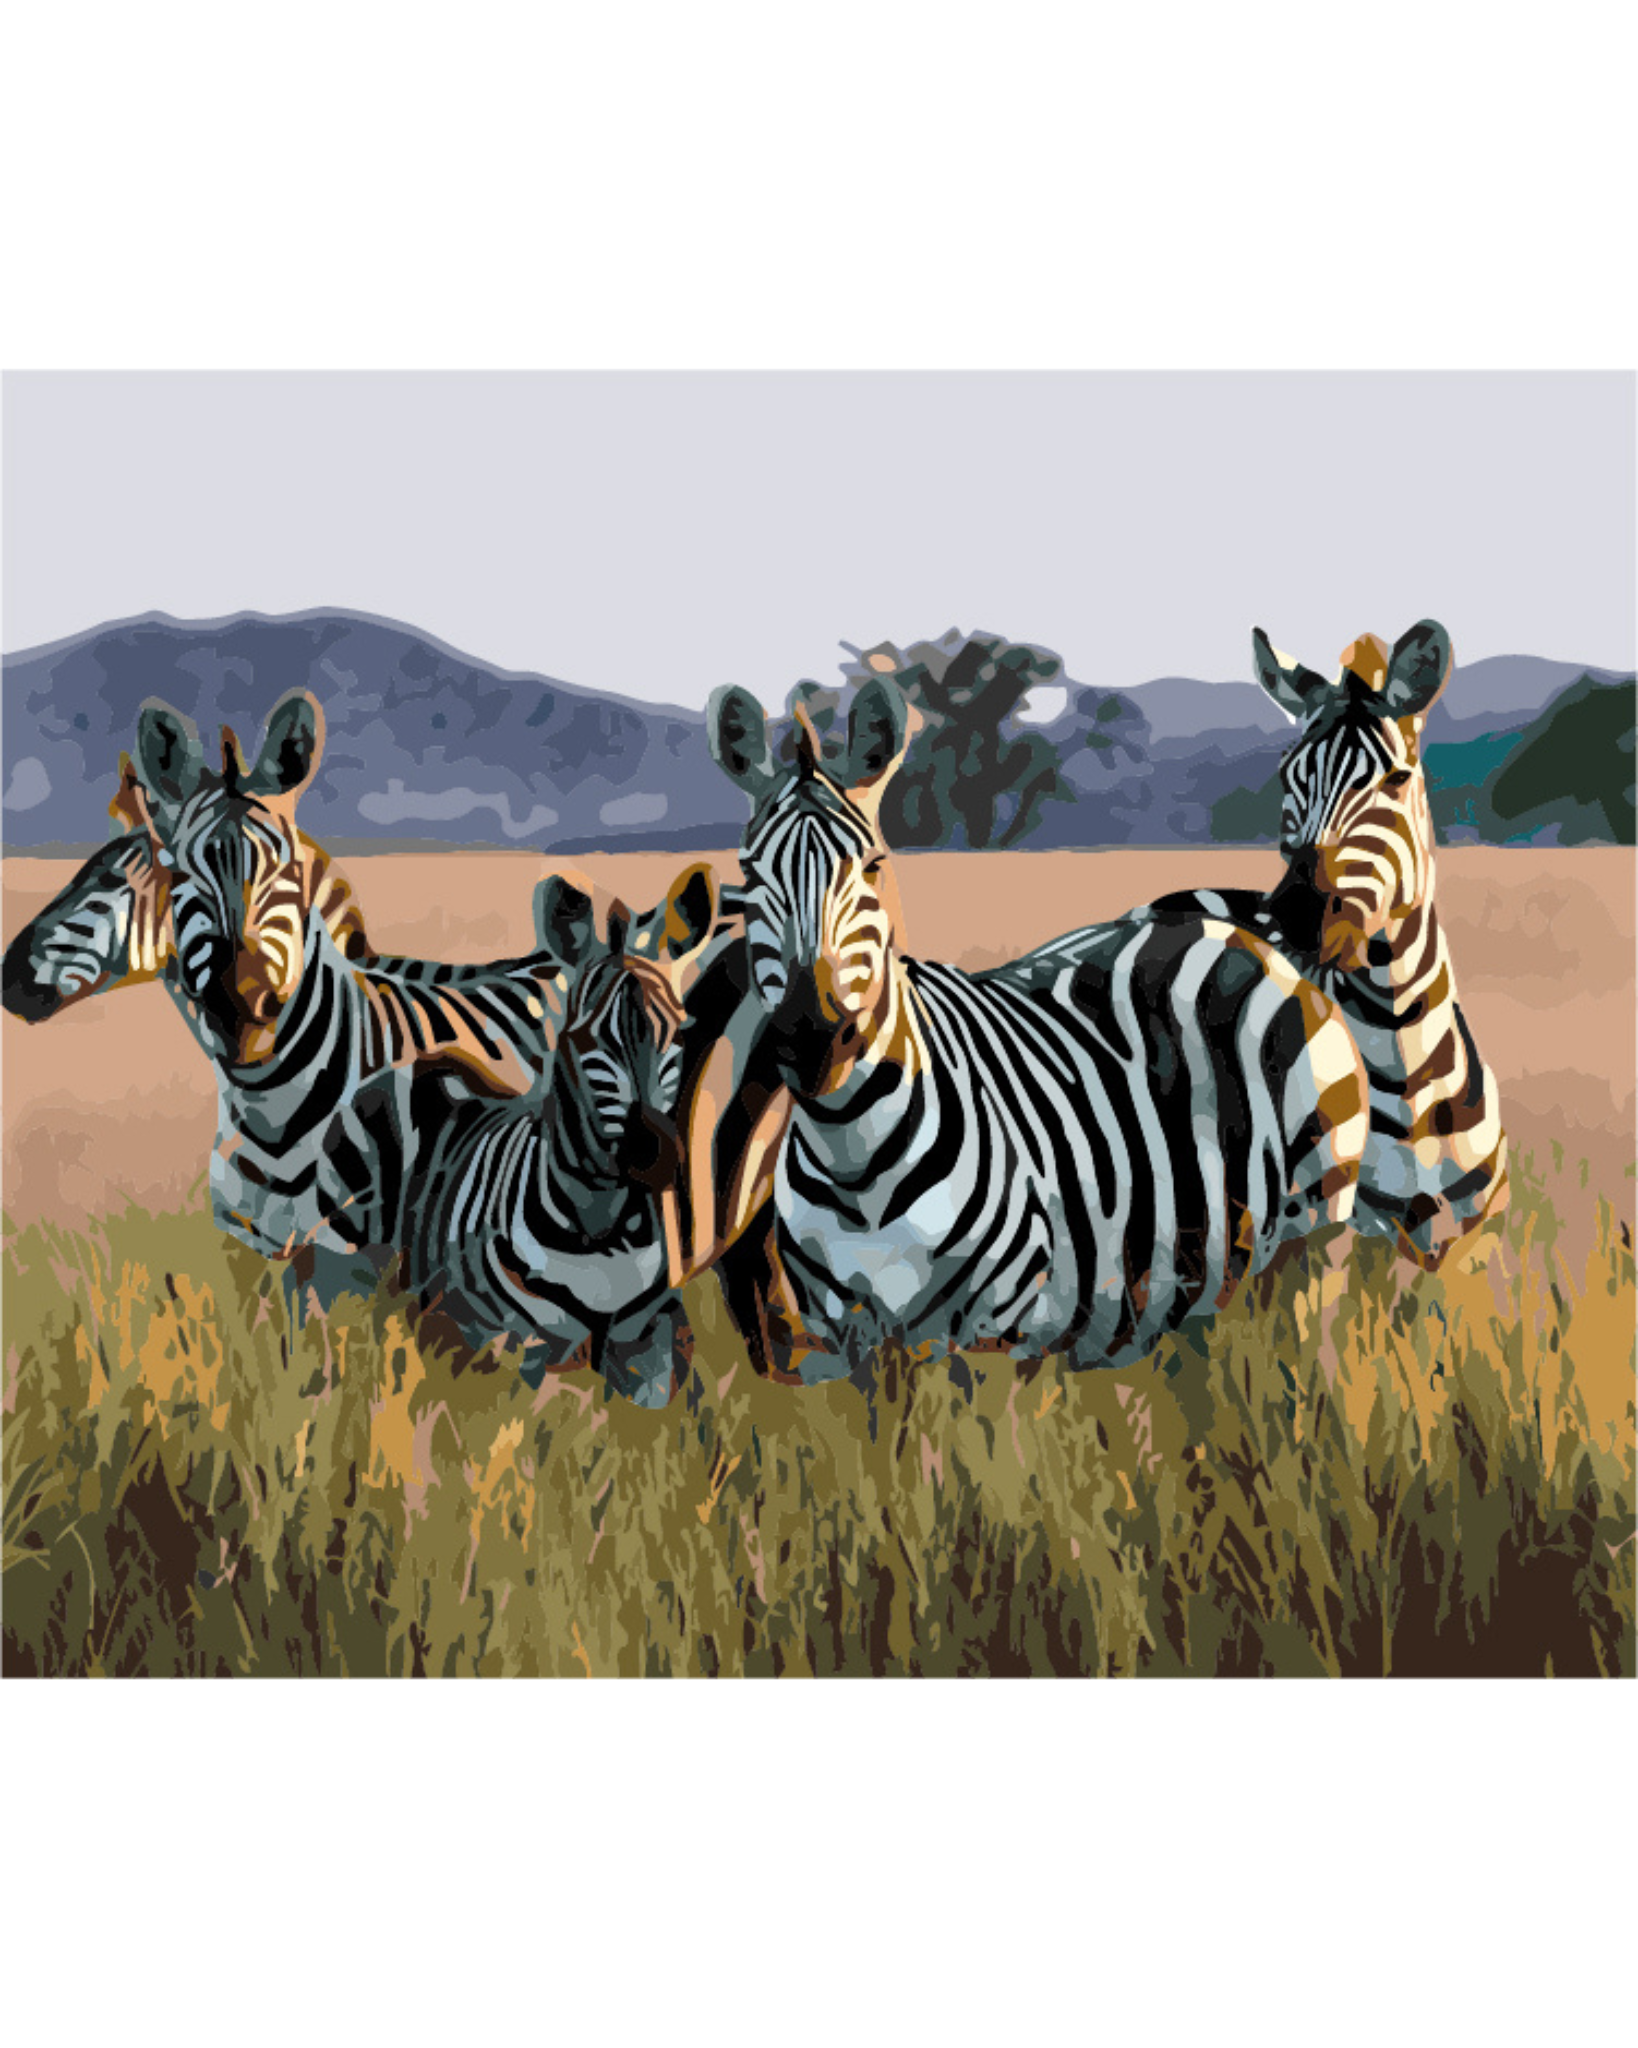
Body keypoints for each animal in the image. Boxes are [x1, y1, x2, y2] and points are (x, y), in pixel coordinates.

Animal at [706, 676, 1370, 1384]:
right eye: (748, 874)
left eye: (873, 867)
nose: (815, 1038)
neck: (852, 1151)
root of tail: (1243, 937)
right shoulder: (838, 1340)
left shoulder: (995, 1330)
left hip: (1313, 1240)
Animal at [1132, 620, 1508, 1267]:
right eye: (1289, 777)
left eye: (1397, 779)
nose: (1299, 913)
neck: (1403, 1054)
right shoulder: (1337, 1238)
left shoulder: (1477, 1239)